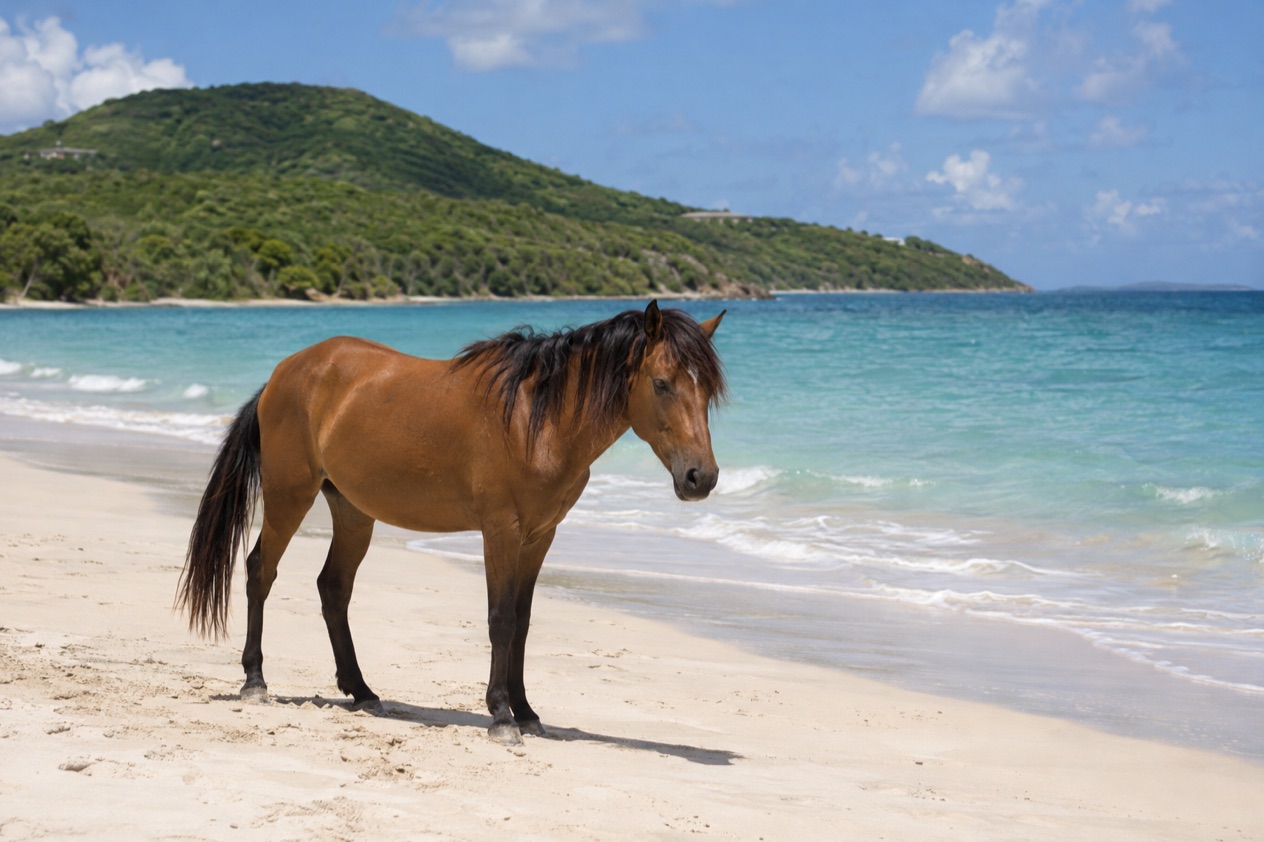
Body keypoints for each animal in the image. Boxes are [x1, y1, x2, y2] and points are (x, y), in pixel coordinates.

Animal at [177, 300, 726, 745]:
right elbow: (501, 620)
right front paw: (502, 716)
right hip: (290, 495)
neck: (538, 420)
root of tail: (284, 374)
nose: (701, 478)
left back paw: (362, 691)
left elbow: (523, 620)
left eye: (708, 393)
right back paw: (255, 682)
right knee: (260, 572)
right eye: (662, 383)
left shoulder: (539, 536)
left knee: (332, 588)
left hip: (352, 511)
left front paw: (527, 712)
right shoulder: (501, 530)